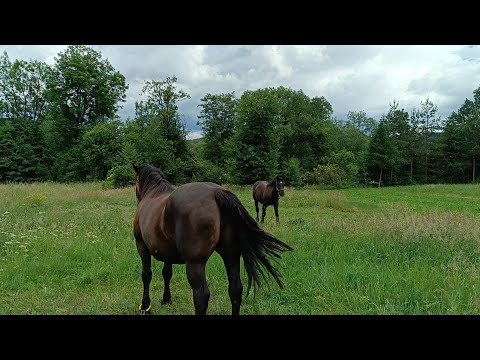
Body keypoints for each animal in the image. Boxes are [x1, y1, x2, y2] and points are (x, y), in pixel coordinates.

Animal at [130, 164, 292, 316]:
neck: (154, 192)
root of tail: (217, 193)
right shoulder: (167, 252)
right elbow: (167, 273)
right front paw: (166, 299)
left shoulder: (141, 245)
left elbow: (146, 275)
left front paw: (145, 306)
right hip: (231, 256)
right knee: (235, 289)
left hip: (195, 264)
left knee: (201, 296)